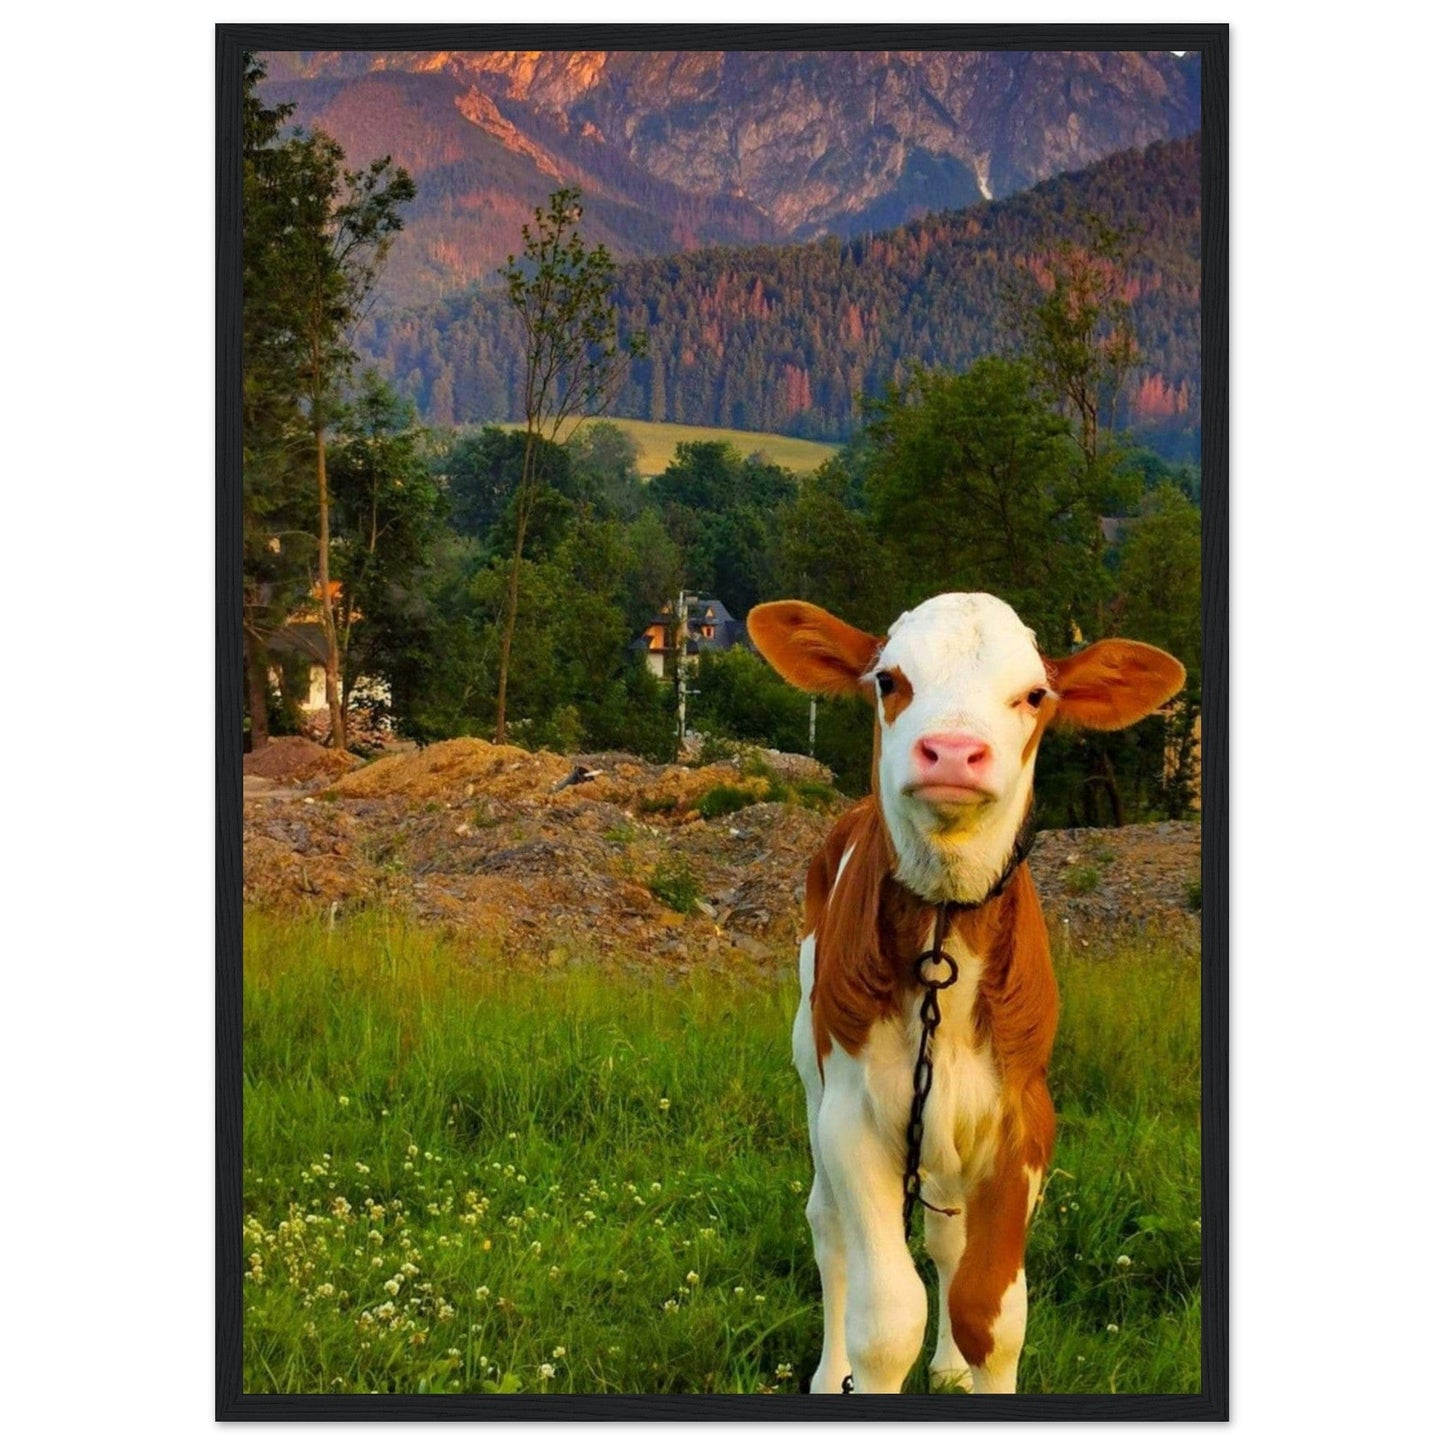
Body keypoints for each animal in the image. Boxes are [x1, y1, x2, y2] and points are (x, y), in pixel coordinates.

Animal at [746, 592, 1185, 1395]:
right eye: (889, 680)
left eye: (1034, 695)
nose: (951, 751)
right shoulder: (852, 1114)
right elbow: (887, 1322)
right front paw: (865, 1364)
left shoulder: (1022, 1115)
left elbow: (990, 1311)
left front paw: (964, 1354)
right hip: (809, 1065)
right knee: (828, 1227)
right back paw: (829, 1372)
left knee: (945, 1237)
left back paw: (947, 1366)